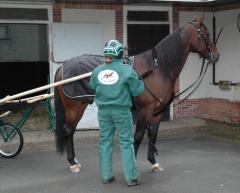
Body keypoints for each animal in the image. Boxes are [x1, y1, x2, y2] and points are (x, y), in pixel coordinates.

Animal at [54, 15, 219, 173]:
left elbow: (153, 134)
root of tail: (63, 65)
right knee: (68, 130)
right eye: (207, 34)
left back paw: (75, 161)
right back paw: (72, 163)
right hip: (74, 107)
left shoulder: (158, 111)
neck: (157, 68)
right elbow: (138, 136)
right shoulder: (145, 110)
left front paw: (153, 162)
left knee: (71, 131)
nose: (216, 55)